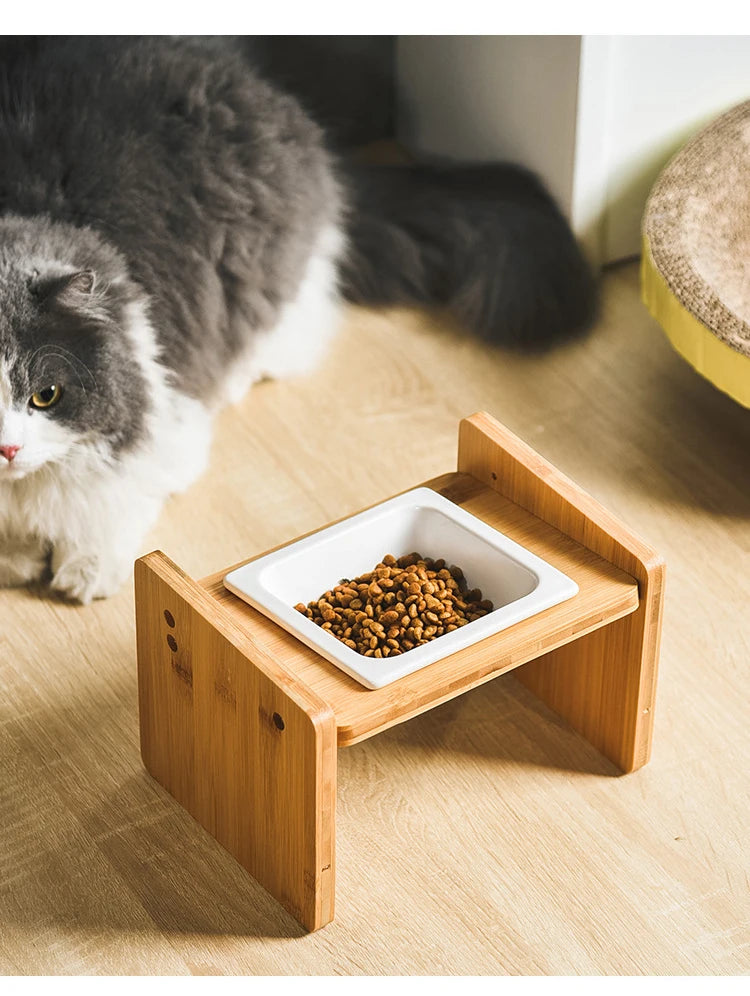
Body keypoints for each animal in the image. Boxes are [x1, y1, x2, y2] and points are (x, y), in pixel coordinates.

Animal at [0, 35, 600, 604]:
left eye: (45, 395)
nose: (7, 450)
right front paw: (16, 562)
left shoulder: (161, 423)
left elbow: (108, 506)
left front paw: (85, 571)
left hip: (267, 271)